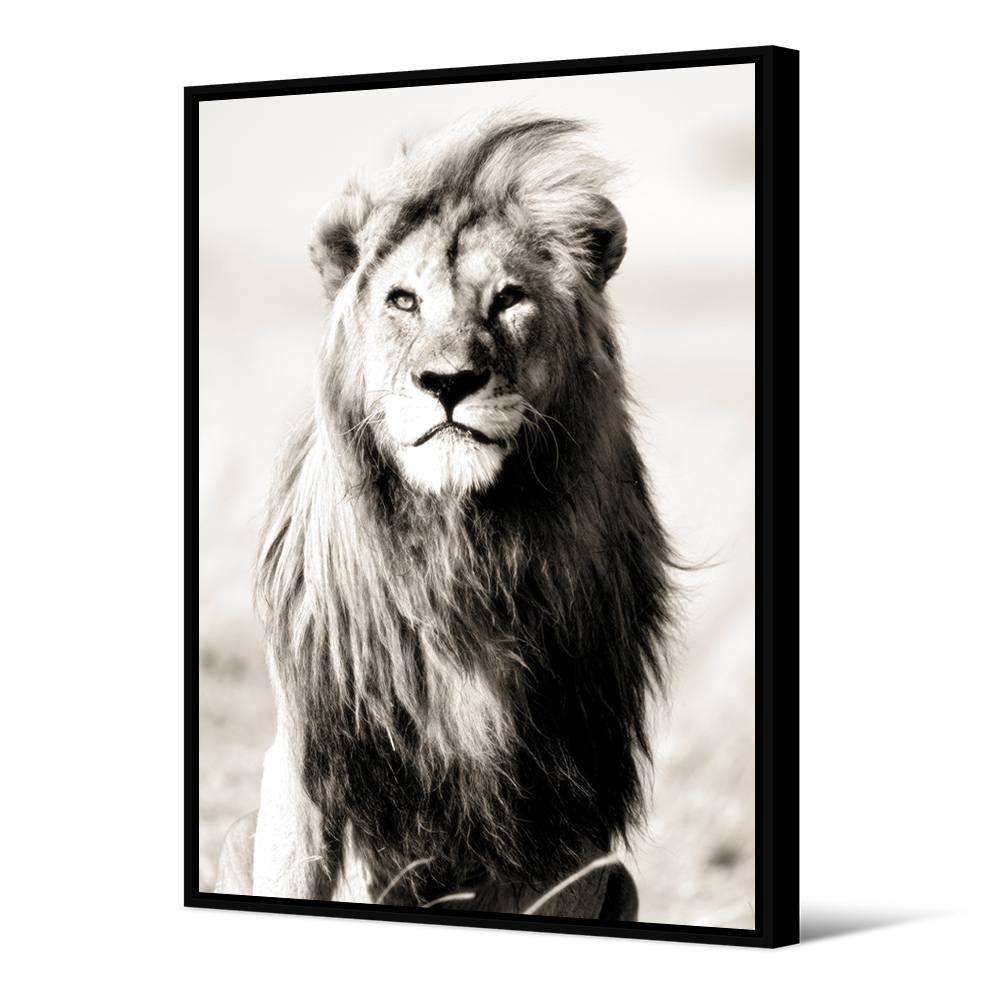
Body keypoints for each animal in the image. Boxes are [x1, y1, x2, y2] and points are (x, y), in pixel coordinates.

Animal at [215, 111, 679, 920]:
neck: (458, 553)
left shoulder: (570, 807)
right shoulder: (309, 755)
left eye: (509, 299)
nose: (448, 382)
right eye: (403, 301)